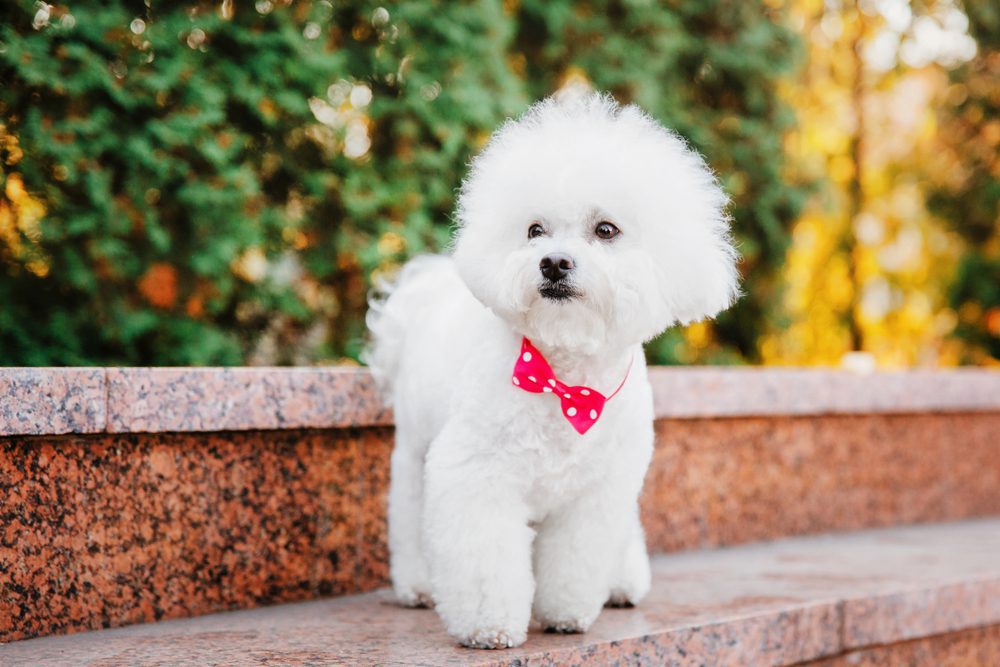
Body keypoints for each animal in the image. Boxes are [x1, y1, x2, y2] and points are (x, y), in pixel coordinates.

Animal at [364, 91, 740, 648]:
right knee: (410, 515)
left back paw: (622, 581)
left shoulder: (596, 494)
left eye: (606, 229)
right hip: (415, 449)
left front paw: (566, 613)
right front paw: (489, 627)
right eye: (534, 230)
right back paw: (418, 585)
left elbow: (575, 561)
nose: (554, 262)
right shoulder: (477, 475)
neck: (566, 379)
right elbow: (485, 562)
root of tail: (424, 287)